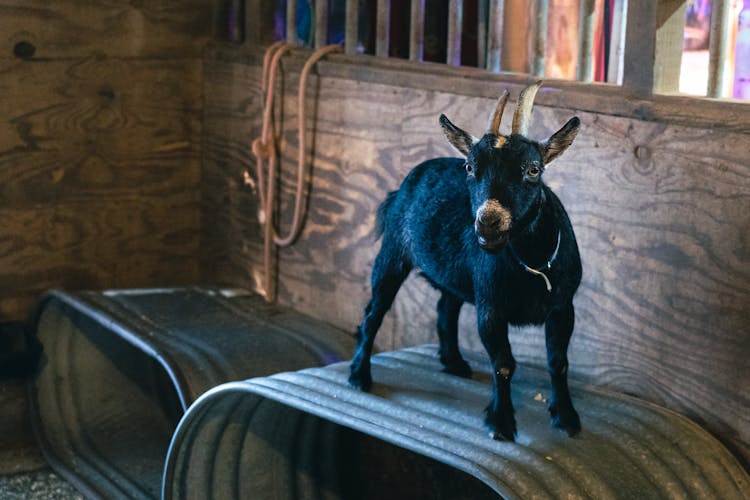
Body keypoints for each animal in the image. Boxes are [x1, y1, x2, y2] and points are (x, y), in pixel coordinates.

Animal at [350, 82, 584, 442]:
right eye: (471, 168)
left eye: (533, 169)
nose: (488, 222)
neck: (533, 266)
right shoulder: (490, 306)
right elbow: (504, 363)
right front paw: (501, 423)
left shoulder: (563, 306)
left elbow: (558, 362)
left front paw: (567, 418)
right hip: (392, 253)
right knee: (375, 311)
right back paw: (359, 375)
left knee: (445, 308)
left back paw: (454, 363)